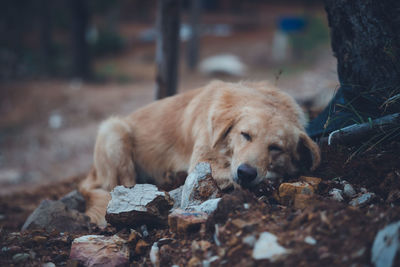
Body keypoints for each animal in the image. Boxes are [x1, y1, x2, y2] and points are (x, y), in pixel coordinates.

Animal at [79, 80, 320, 226]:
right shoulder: (200, 162)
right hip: (114, 130)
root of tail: (88, 177)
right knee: (120, 184)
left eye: (276, 147)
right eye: (246, 135)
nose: (246, 173)